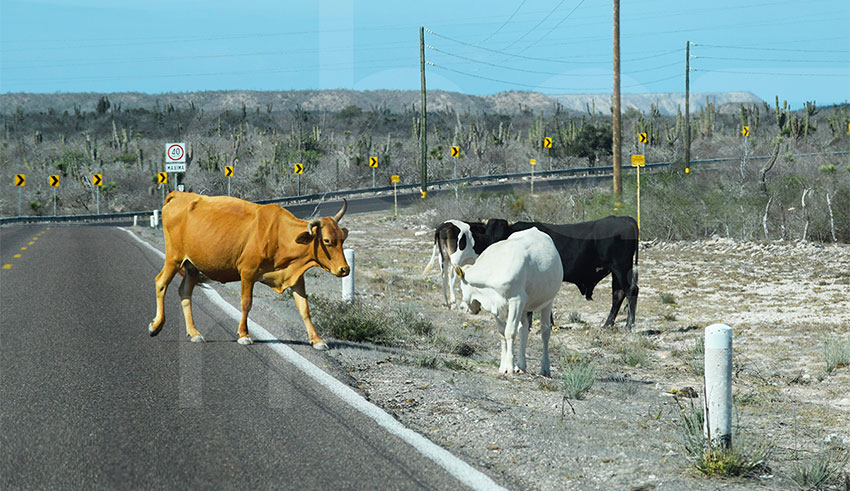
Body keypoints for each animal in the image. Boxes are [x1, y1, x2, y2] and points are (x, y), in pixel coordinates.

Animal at [148, 192, 348, 350]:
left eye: (342, 239)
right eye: (327, 241)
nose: (345, 269)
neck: (279, 234)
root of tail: (179, 195)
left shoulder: (296, 278)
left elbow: (304, 309)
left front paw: (317, 340)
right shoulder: (247, 273)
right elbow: (246, 304)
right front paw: (244, 335)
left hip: (191, 266)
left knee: (185, 292)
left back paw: (194, 332)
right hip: (174, 258)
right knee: (160, 283)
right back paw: (156, 325)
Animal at [454, 228, 560, 376]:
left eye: (460, 287)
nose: (465, 308)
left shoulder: (516, 300)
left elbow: (510, 332)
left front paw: (509, 366)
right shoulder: (496, 306)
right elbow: (502, 333)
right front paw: (503, 365)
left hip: (547, 302)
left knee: (545, 333)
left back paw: (545, 368)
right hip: (525, 307)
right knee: (524, 329)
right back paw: (521, 365)